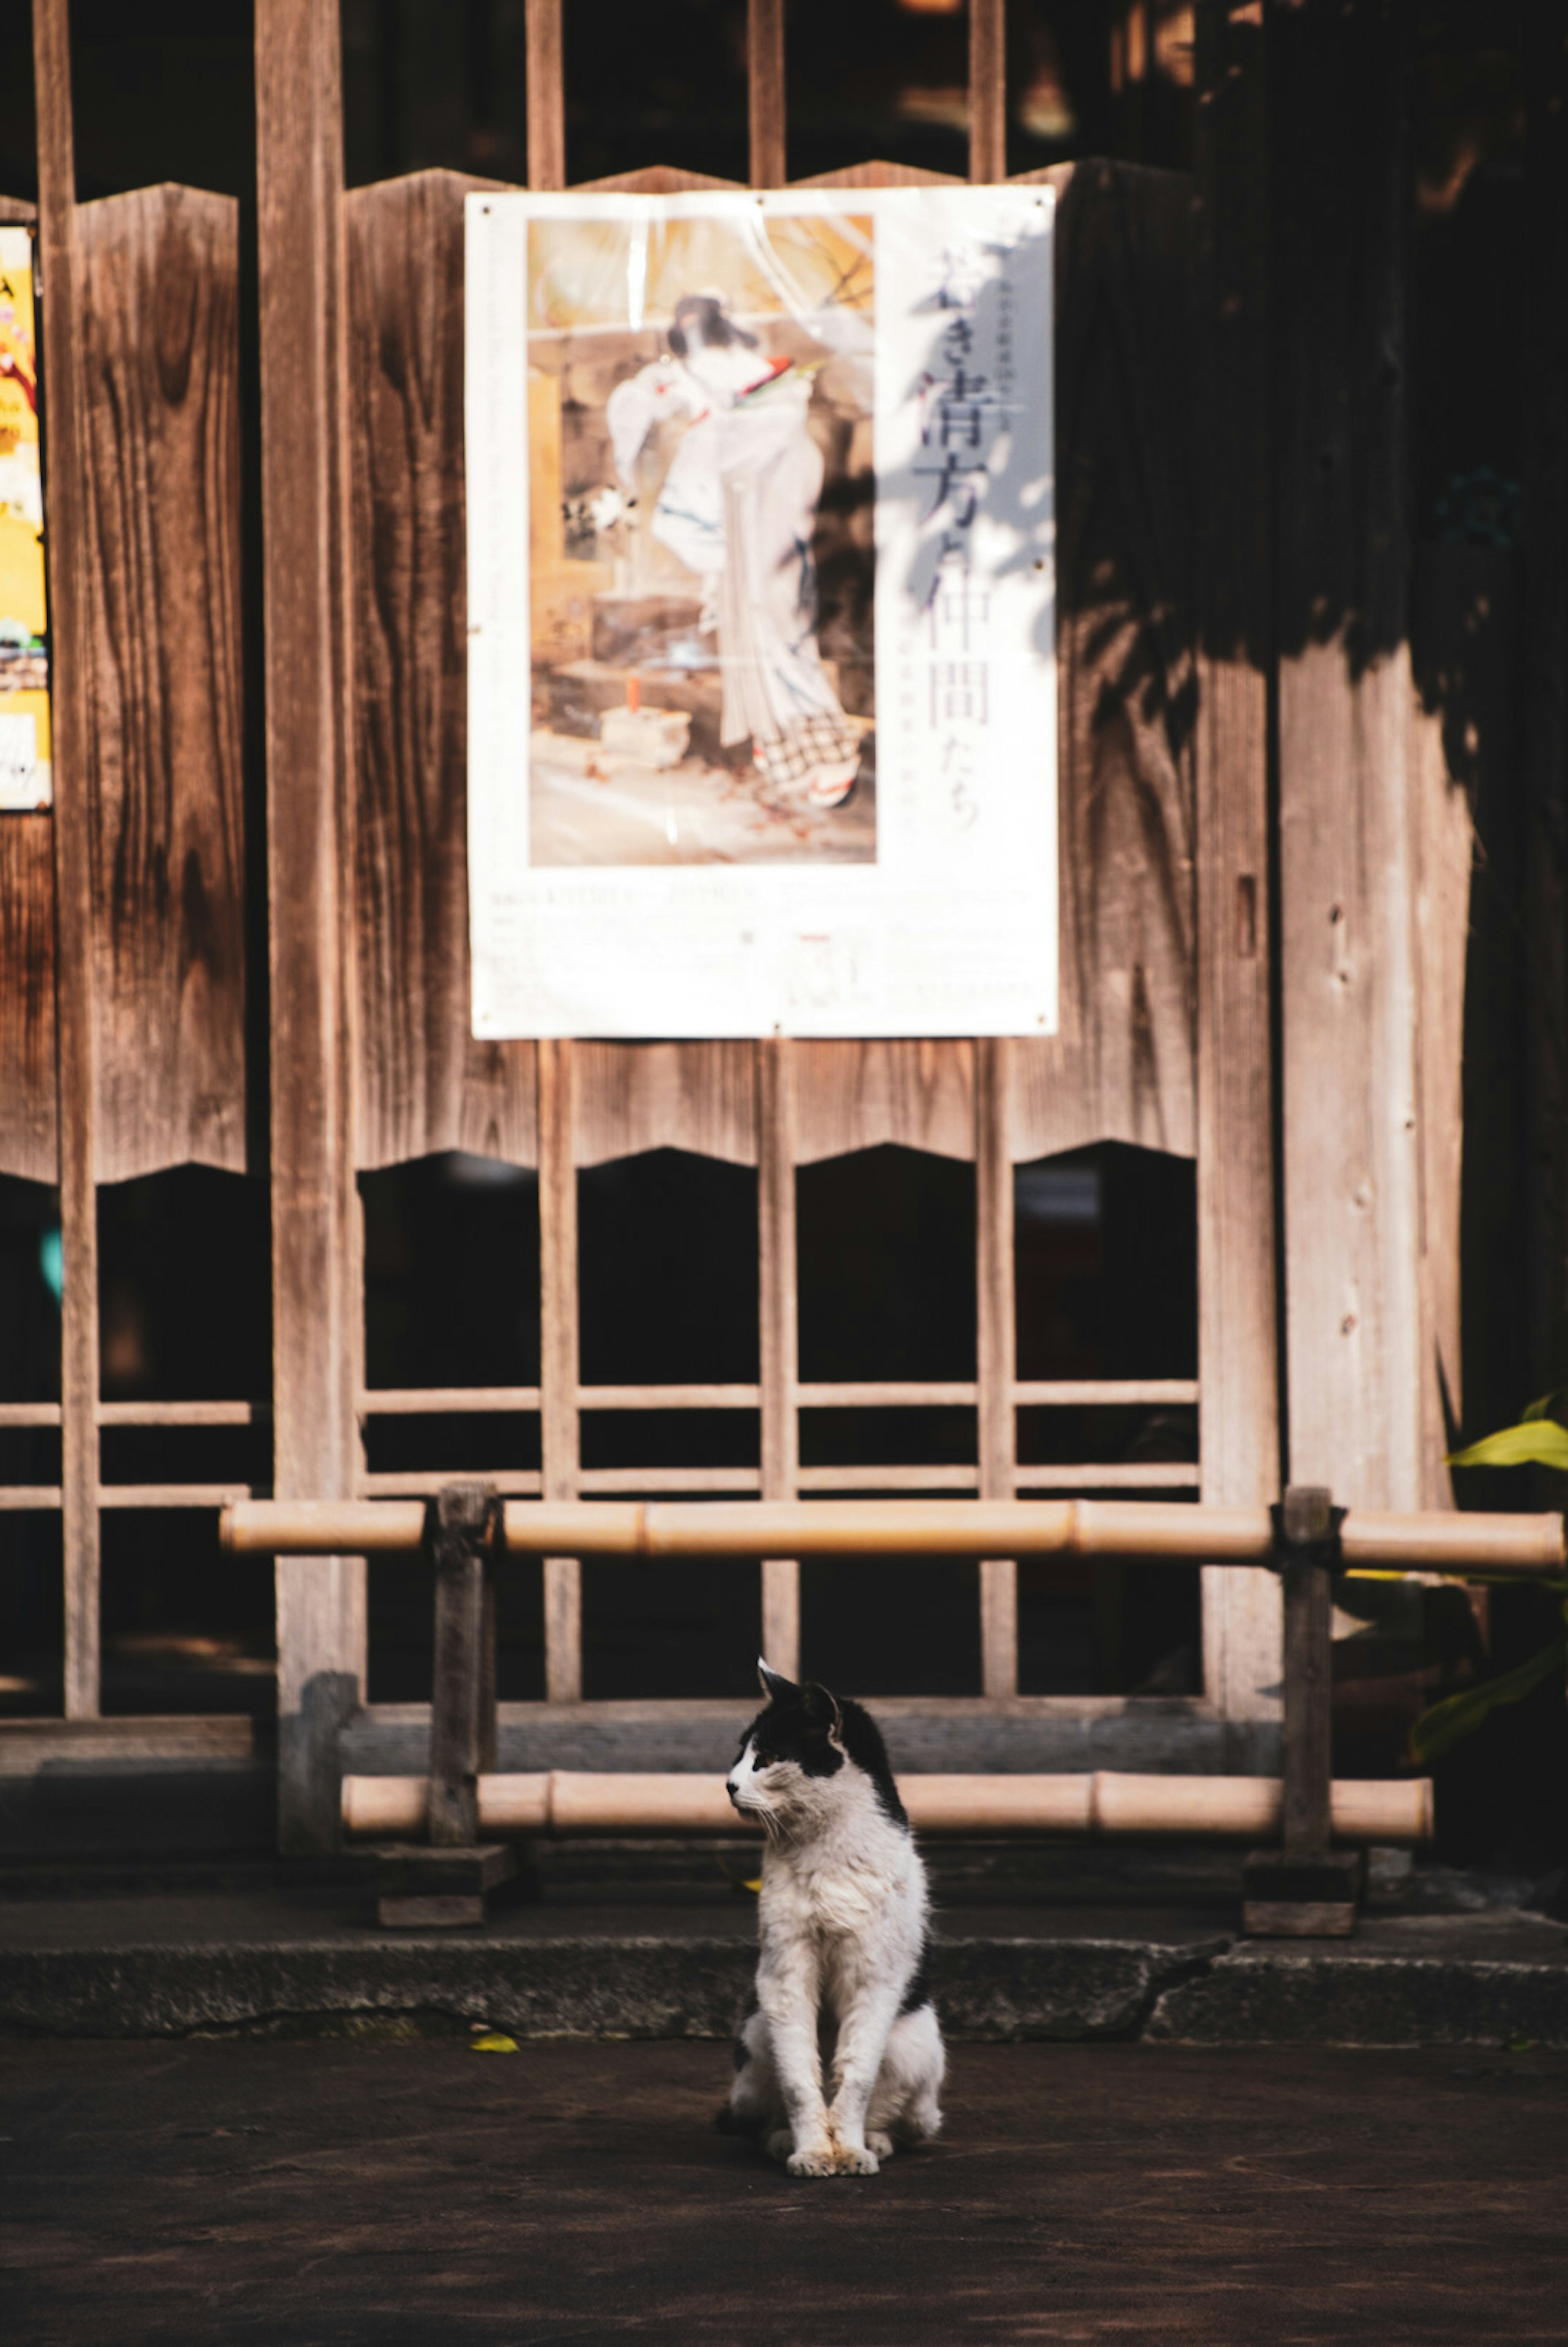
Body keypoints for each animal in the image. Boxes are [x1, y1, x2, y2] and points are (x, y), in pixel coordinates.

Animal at [718, 1662, 943, 2169]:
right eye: (740, 1753)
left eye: (767, 1758)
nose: (729, 1785)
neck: (825, 1846)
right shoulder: (784, 1972)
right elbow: (800, 2081)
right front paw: (813, 2152)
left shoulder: (874, 1975)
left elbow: (856, 2076)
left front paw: (852, 2149)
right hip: (756, 2032)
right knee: (761, 2114)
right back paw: (783, 2139)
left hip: (914, 2045)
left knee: (906, 2119)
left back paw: (874, 2141)